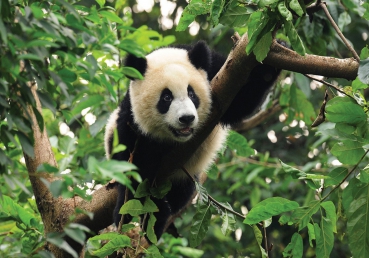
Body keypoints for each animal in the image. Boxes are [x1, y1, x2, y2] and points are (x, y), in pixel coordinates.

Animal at [103, 40, 278, 240]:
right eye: (166, 97)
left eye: (192, 94)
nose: (186, 118)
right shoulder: (131, 122)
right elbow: (135, 168)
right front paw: (150, 214)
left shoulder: (218, 73)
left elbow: (240, 101)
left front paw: (272, 59)